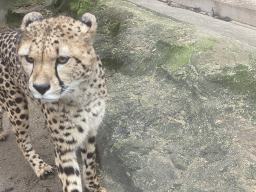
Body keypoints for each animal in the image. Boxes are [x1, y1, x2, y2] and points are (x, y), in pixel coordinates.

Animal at [0, 12, 107, 192]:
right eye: (29, 58)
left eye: (62, 59)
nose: (39, 87)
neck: (80, 93)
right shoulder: (64, 148)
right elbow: (71, 182)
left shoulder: (91, 129)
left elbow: (90, 162)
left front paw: (94, 186)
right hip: (15, 102)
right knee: (21, 139)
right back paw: (40, 166)